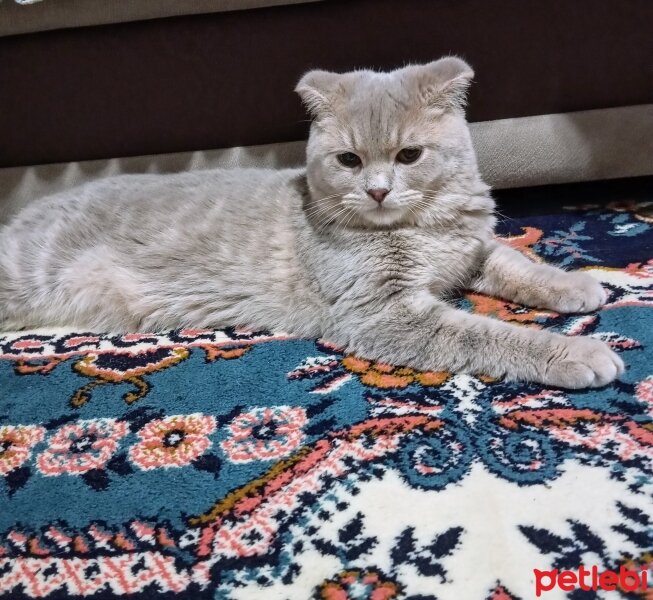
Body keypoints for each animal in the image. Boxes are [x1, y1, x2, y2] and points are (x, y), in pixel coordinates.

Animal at [0, 57, 620, 390]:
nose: (377, 189)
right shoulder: (385, 313)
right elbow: (490, 333)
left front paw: (577, 284)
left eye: (409, 155)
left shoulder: (470, 250)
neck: (421, 226)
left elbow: (518, 262)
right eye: (348, 160)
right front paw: (576, 354)